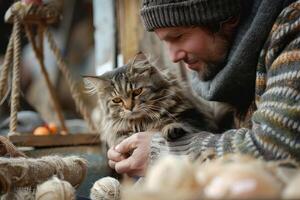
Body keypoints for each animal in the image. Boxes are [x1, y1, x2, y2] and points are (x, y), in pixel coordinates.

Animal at [84, 52, 232, 147]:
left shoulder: (198, 118)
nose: (129, 107)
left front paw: (170, 128)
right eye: (117, 100)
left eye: (137, 92)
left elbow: (184, 123)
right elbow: (120, 137)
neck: (142, 122)